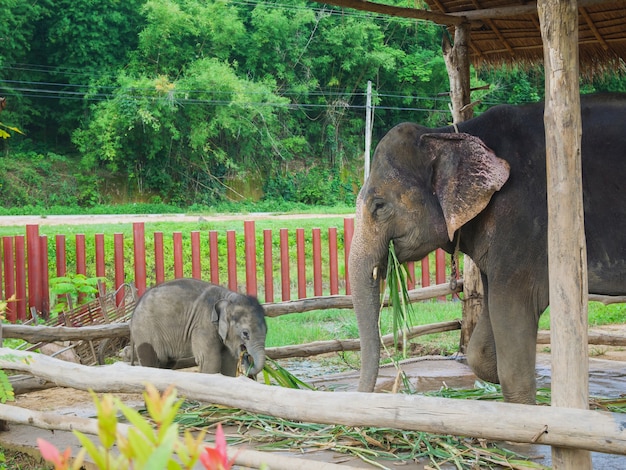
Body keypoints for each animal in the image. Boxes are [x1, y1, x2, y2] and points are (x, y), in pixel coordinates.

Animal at [130, 280, 266, 378]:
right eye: (245, 333)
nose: (246, 355)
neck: (228, 297)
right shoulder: (203, 326)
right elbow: (210, 360)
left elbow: (229, 362)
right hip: (145, 330)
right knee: (149, 361)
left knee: (166, 363)